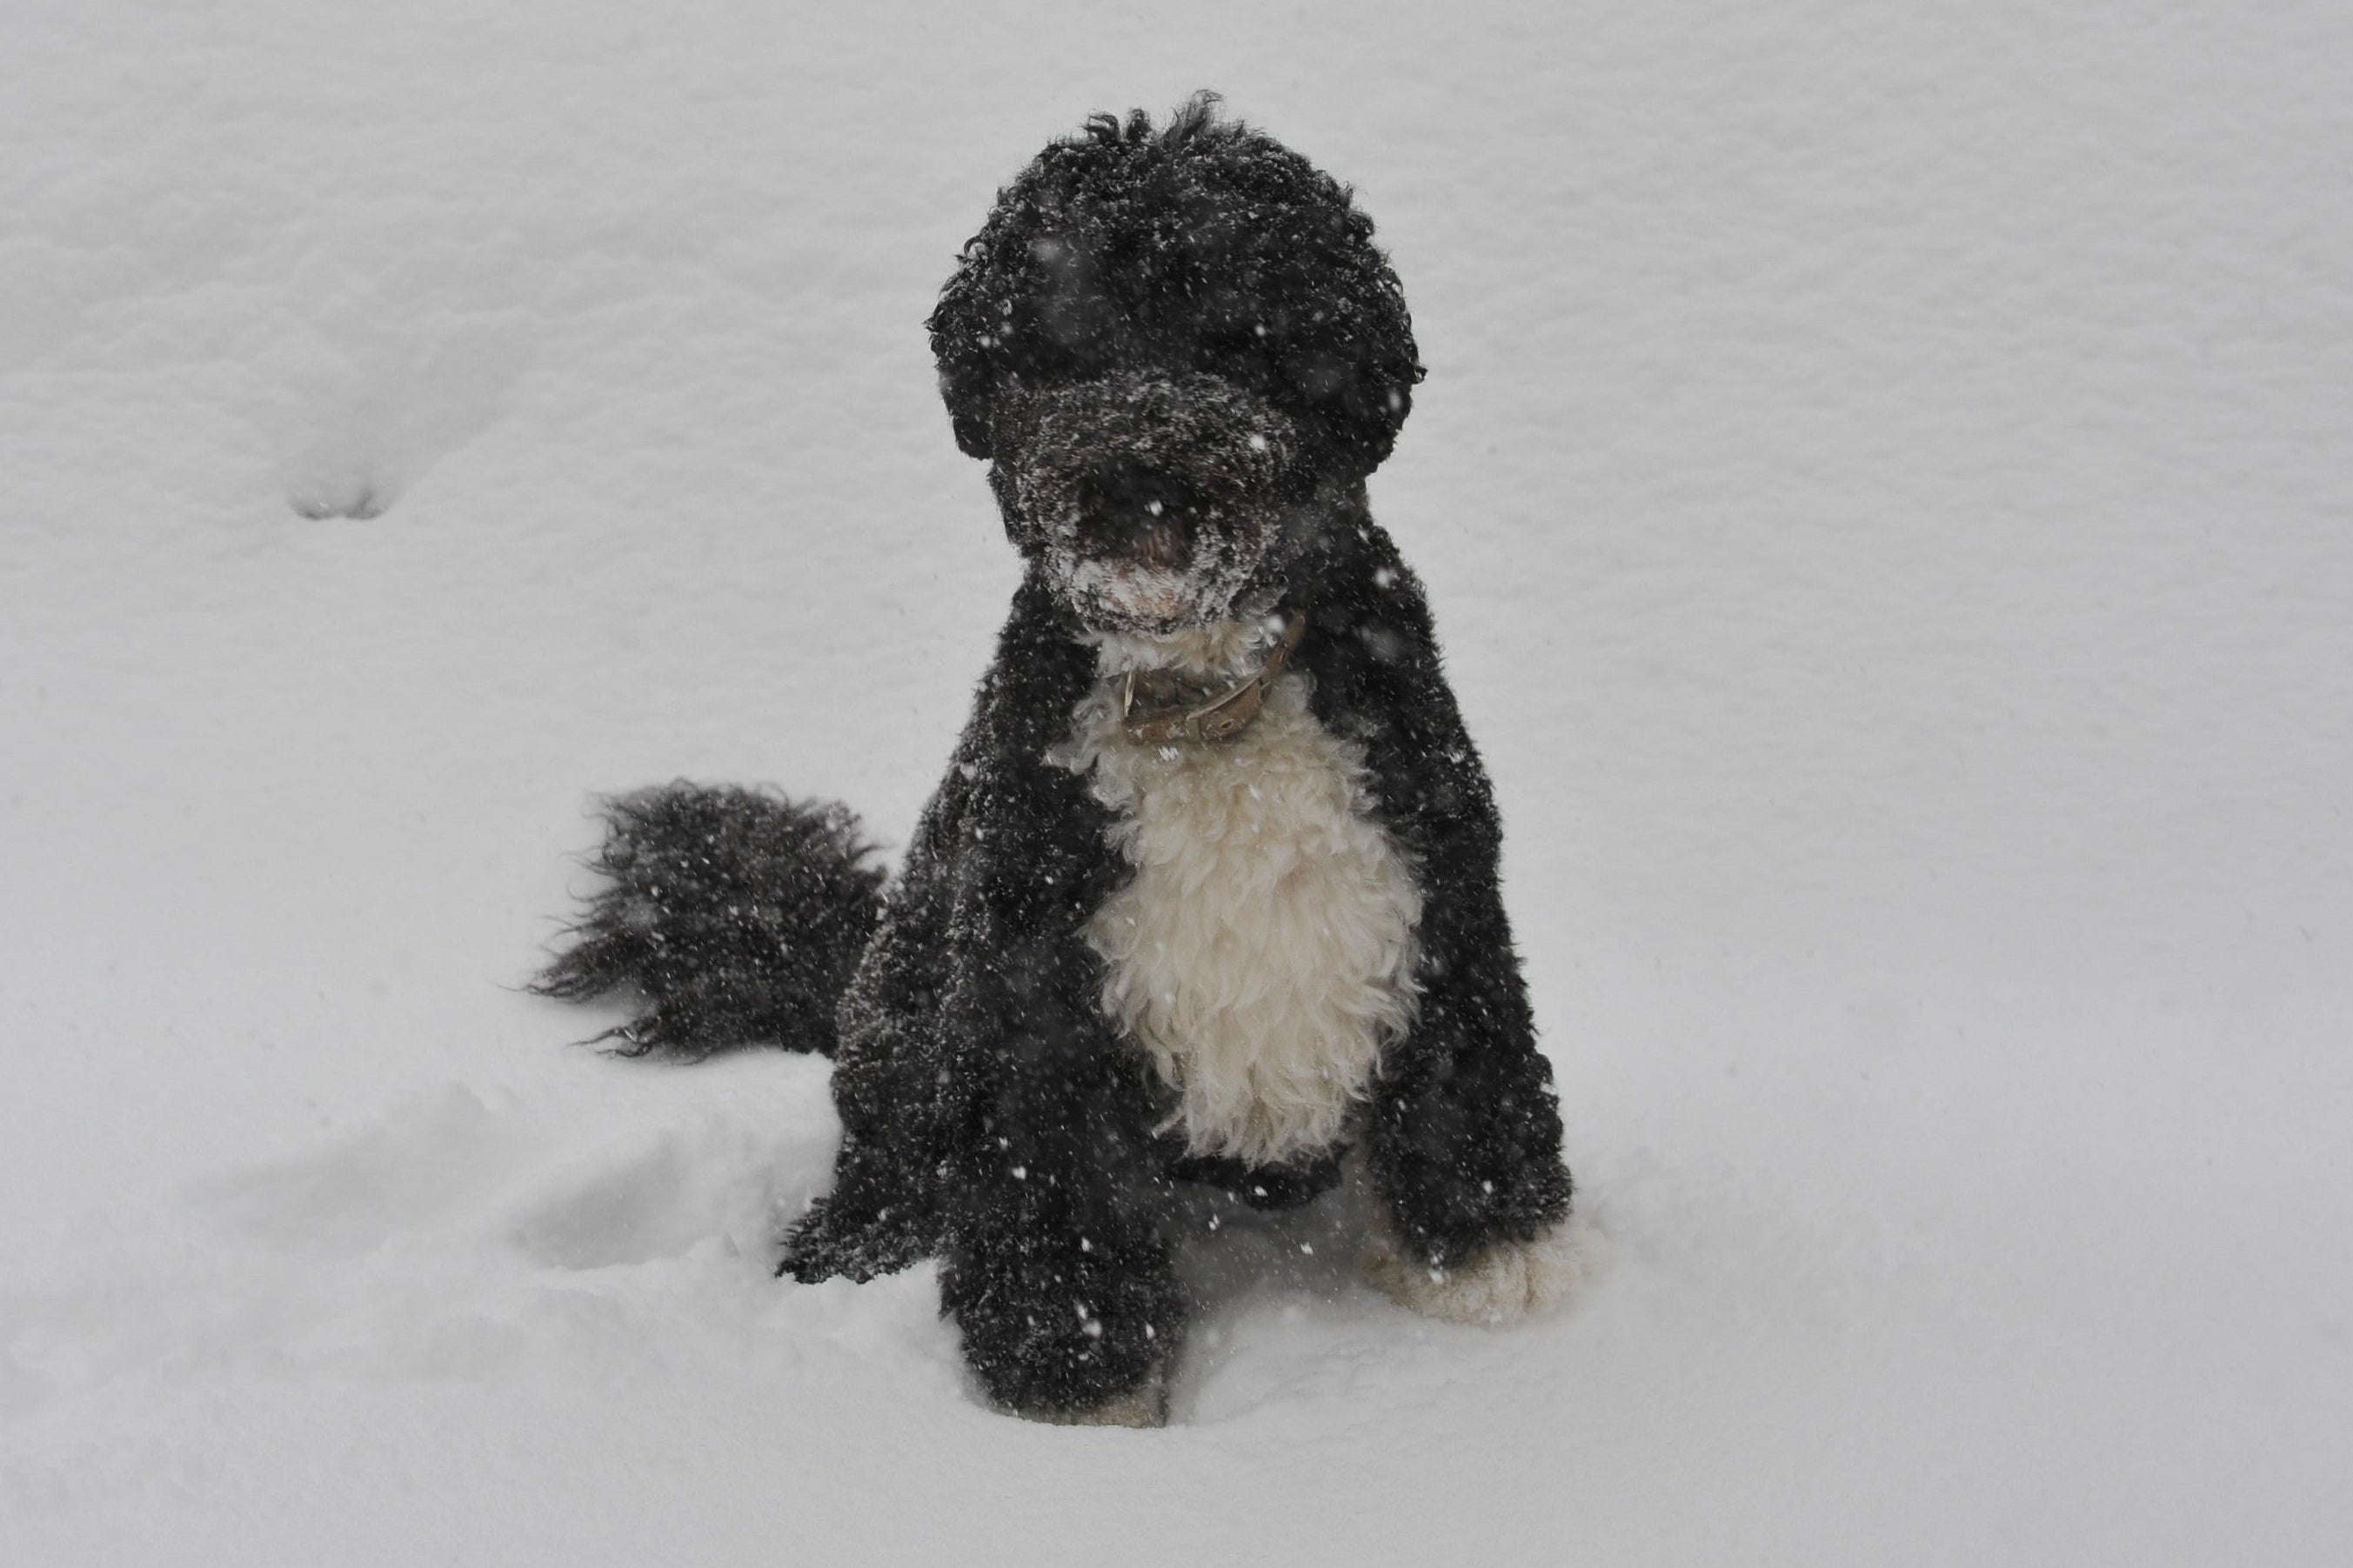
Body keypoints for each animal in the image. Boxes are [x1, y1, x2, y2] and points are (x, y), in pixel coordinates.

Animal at [541, 92, 1590, 1429]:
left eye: (1237, 337)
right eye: (1069, 345)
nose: (1138, 474)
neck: (1204, 700)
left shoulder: (1436, 886)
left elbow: (1467, 1072)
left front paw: (1497, 1272)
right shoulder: (1035, 983)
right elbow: (1060, 1200)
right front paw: (1070, 1382)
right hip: (908, 1034)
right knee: (884, 1175)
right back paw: (851, 1249)